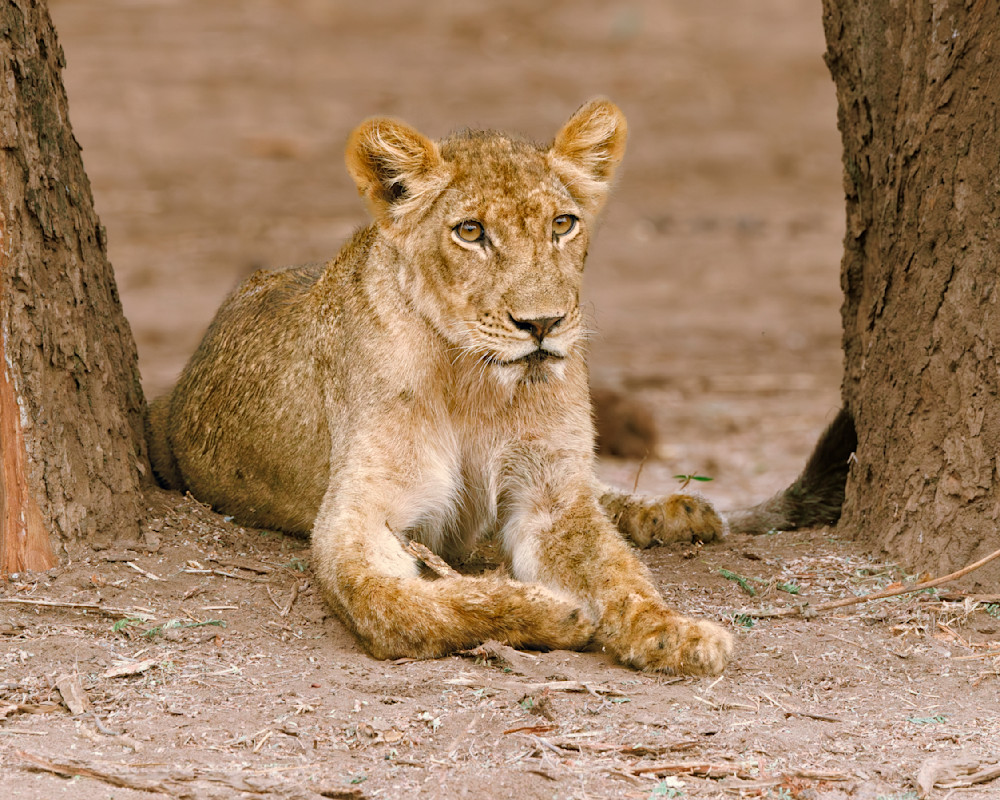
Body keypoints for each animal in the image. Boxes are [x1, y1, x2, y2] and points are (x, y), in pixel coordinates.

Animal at [147, 99, 734, 675]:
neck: (475, 380)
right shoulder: (356, 517)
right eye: (470, 232)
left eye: (562, 224)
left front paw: (676, 634)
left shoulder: (550, 494)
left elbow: (616, 573)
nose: (543, 324)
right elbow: (395, 606)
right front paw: (548, 610)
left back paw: (676, 511)